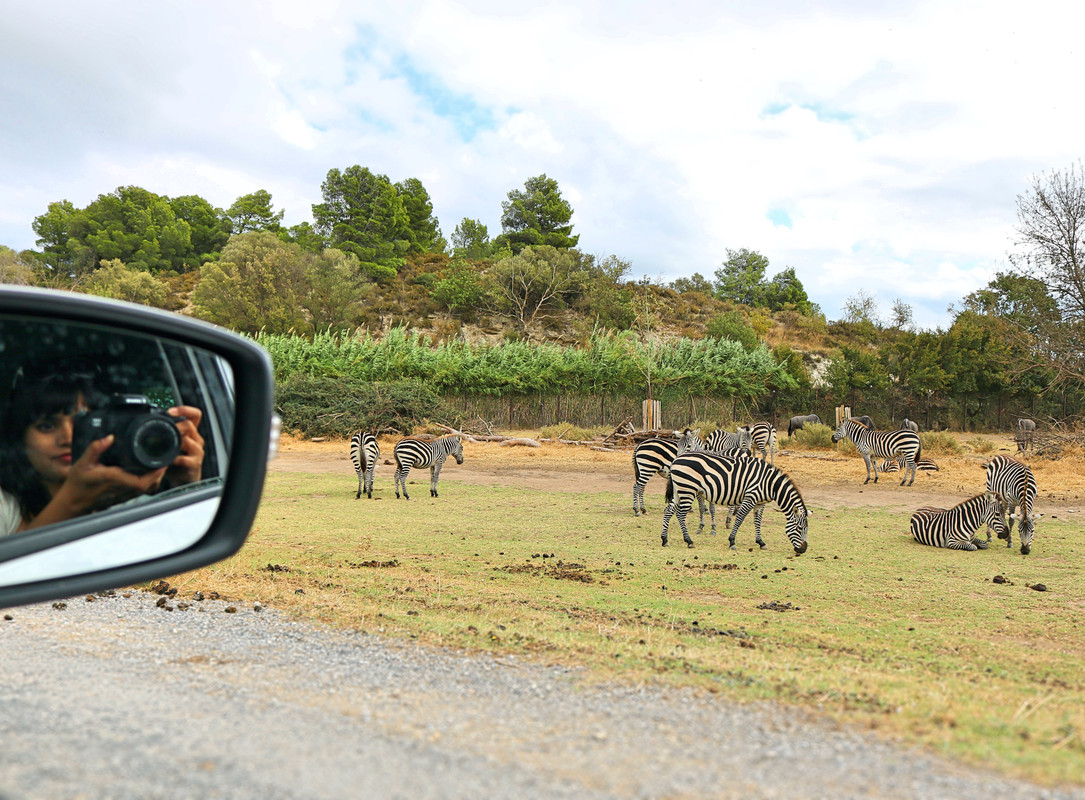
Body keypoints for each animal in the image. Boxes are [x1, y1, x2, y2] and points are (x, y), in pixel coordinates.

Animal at [655, 449, 811, 555]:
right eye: (799, 528)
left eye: (806, 529)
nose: (803, 550)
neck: (770, 484)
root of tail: (676, 460)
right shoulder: (750, 497)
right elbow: (740, 518)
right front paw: (732, 541)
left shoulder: (760, 503)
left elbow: (758, 521)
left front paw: (761, 542)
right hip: (687, 489)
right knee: (680, 514)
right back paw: (689, 541)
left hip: (679, 490)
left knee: (668, 510)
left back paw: (664, 539)